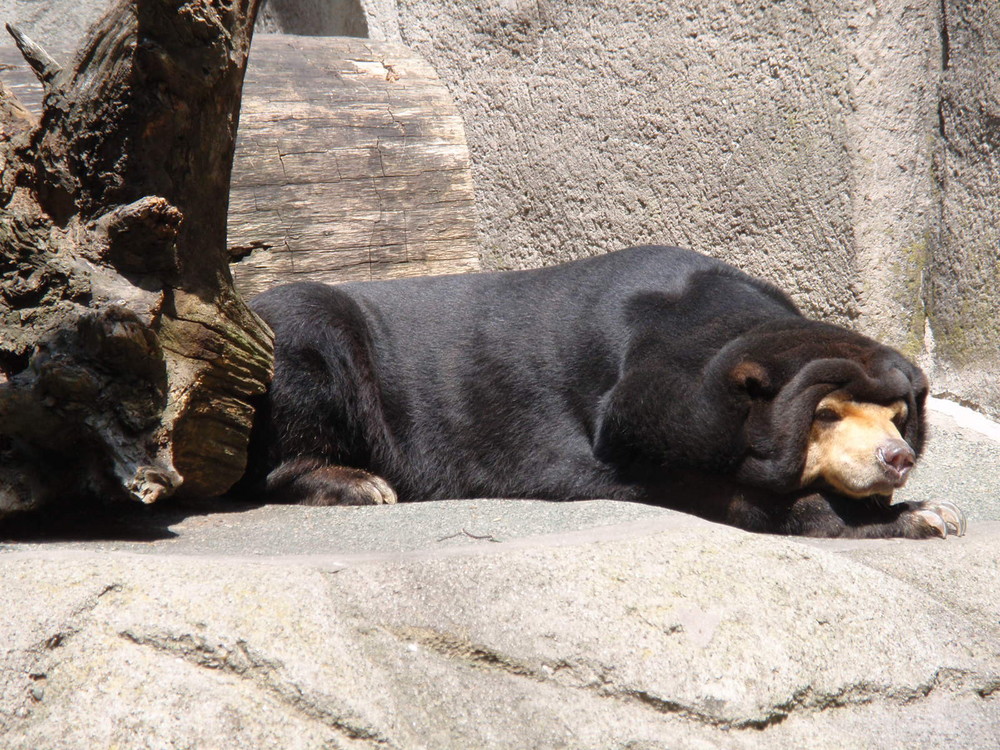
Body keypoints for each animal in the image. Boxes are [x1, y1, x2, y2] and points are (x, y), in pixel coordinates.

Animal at [240, 244, 960, 536]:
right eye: (827, 414)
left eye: (896, 413)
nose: (895, 458)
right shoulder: (633, 418)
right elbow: (725, 493)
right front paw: (921, 516)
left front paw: (927, 506)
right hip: (297, 344)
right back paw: (357, 481)